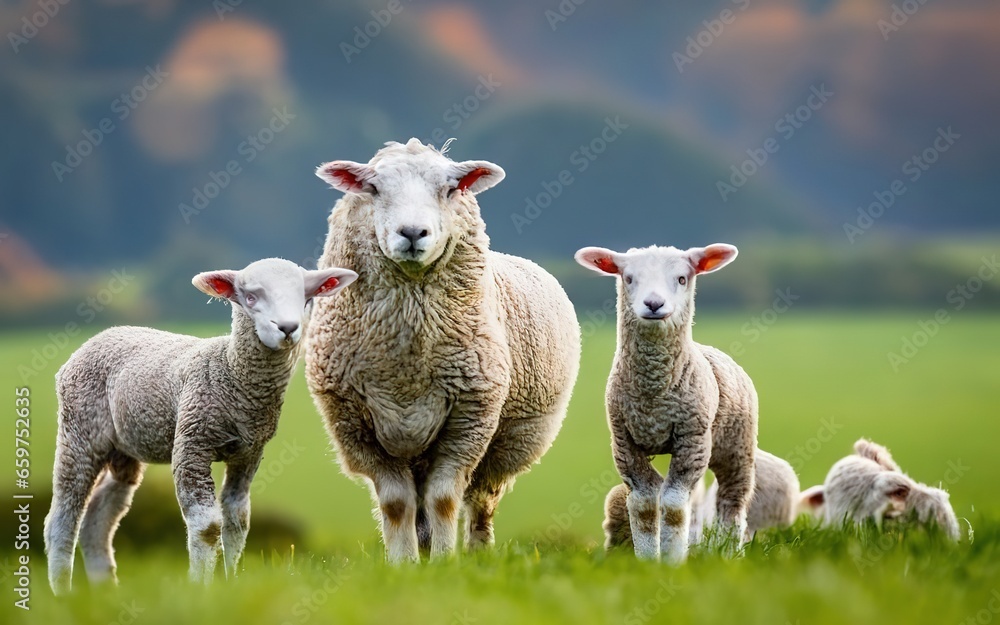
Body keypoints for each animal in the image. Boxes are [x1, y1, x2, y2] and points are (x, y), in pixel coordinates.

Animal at [44, 258, 357, 594]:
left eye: (306, 298)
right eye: (250, 297)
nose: (287, 328)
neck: (232, 375)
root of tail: (97, 339)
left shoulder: (249, 453)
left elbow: (237, 520)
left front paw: (230, 581)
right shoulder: (191, 444)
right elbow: (207, 527)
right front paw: (200, 589)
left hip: (124, 448)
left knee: (99, 516)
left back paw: (104, 589)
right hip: (79, 430)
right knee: (63, 516)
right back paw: (63, 591)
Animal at [306, 139, 581, 563]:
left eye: (451, 189)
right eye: (373, 188)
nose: (412, 232)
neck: (407, 366)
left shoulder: (469, 418)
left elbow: (444, 499)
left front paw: (444, 562)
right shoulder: (354, 423)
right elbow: (396, 504)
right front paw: (403, 565)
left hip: (507, 444)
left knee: (481, 502)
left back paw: (477, 552)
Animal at [576, 243, 757, 563]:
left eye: (682, 278)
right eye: (629, 278)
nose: (653, 304)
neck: (654, 395)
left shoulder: (691, 438)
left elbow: (673, 506)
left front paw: (672, 561)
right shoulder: (624, 442)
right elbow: (645, 504)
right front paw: (649, 560)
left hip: (737, 446)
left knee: (732, 501)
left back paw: (728, 552)